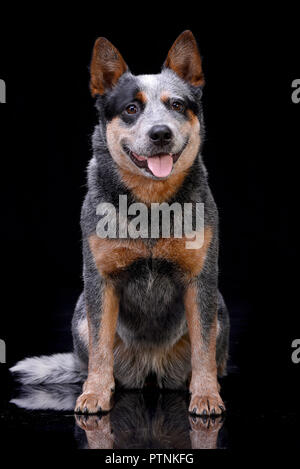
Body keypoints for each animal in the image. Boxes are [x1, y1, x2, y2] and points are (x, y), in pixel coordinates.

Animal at [9, 31, 230, 414]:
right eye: (131, 109)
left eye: (176, 105)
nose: (160, 133)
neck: (151, 206)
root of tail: (152, 372)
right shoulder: (101, 281)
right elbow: (101, 347)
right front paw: (95, 393)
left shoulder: (200, 281)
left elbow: (203, 347)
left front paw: (206, 394)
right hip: (80, 314)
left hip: (221, 308)